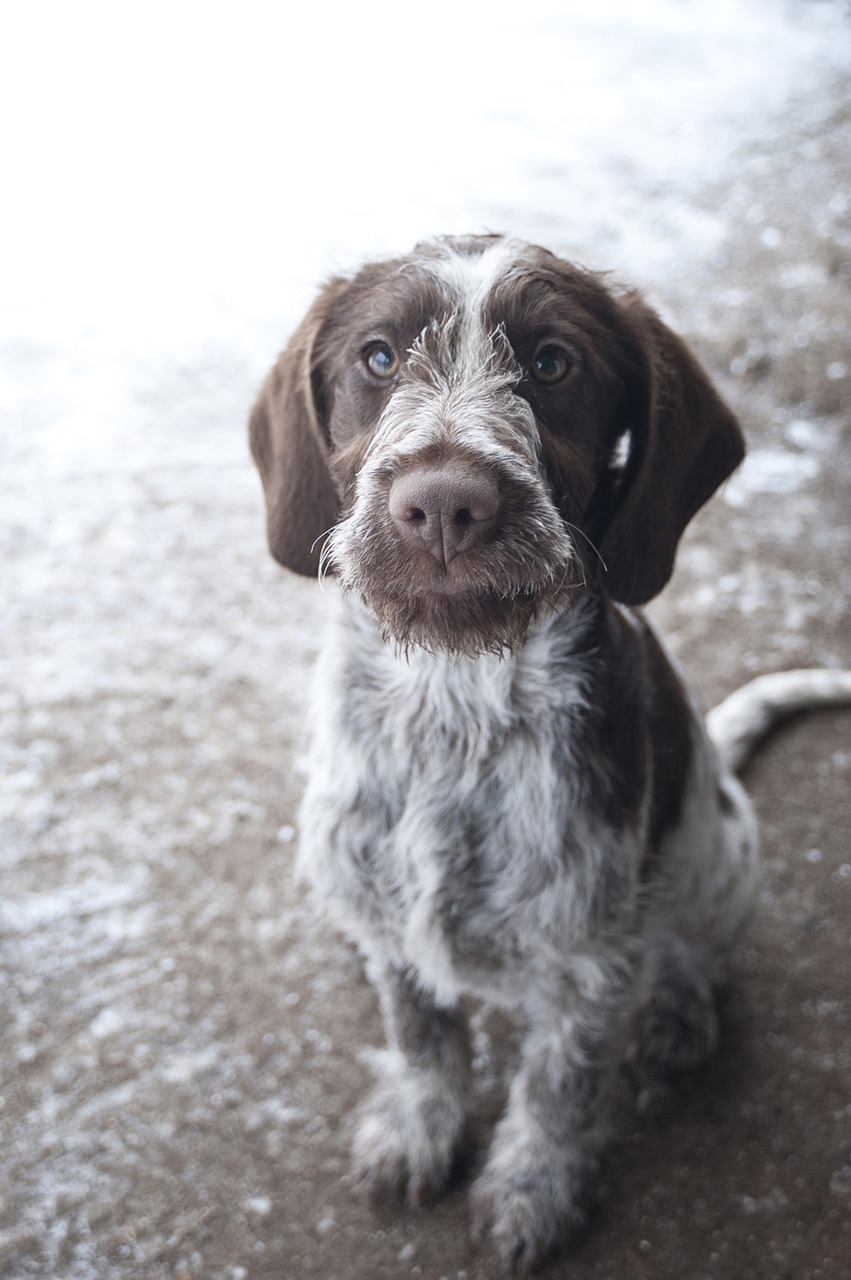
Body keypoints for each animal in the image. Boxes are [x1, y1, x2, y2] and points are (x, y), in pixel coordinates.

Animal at [246, 238, 849, 1269]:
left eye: (553, 363)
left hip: (726, 856)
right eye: (377, 358)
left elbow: (557, 1091)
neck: (451, 711)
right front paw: (418, 1128)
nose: (443, 503)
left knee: (694, 950)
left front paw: (534, 1191)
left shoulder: (586, 965)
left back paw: (679, 1019)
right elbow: (423, 1038)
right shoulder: (393, 924)